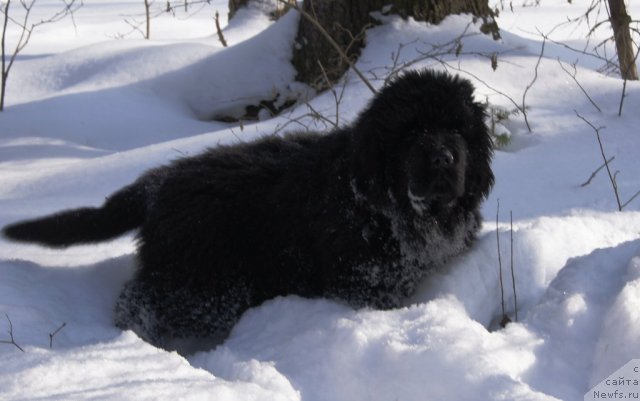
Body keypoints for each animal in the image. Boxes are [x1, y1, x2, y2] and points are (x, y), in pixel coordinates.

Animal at [2, 69, 496, 350]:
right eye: (411, 131)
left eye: (457, 130)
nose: (442, 158)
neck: (394, 205)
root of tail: (157, 183)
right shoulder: (362, 280)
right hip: (204, 283)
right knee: (138, 302)